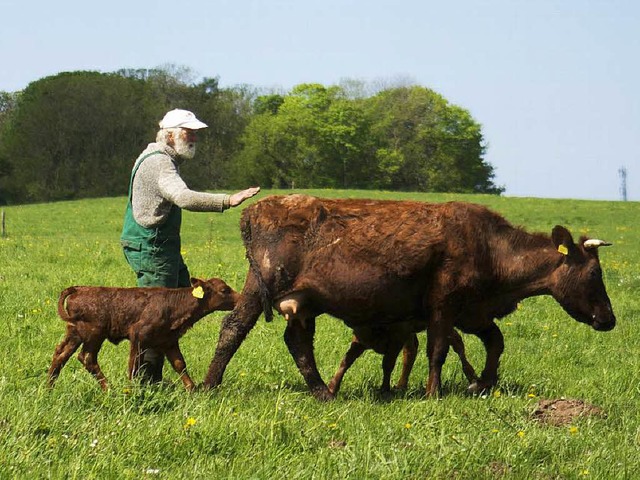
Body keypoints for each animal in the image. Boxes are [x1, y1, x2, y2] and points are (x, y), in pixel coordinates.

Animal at [47, 278, 238, 390]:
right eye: (224, 290)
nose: (240, 298)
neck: (174, 305)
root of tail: (79, 289)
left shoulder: (168, 341)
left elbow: (179, 364)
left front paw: (192, 389)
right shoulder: (138, 336)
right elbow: (134, 365)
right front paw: (131, 391)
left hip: (74, 333)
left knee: (60, 353)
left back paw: (49, 387)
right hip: (93, 333)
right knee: (87, 357)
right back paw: (109, 389)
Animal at [205, 193, 616, 400]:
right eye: (595, 273)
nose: (610, 319)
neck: (490, 248)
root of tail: (257, 208)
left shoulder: (474, 311)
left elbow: (495, 343)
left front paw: (481, 383)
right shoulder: (444, 305)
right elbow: (438, 349)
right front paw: (434, 393)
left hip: (302, 302)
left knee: (297, 341)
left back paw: (323, 391)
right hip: (263, 285)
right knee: (233, 328)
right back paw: (209, 385)